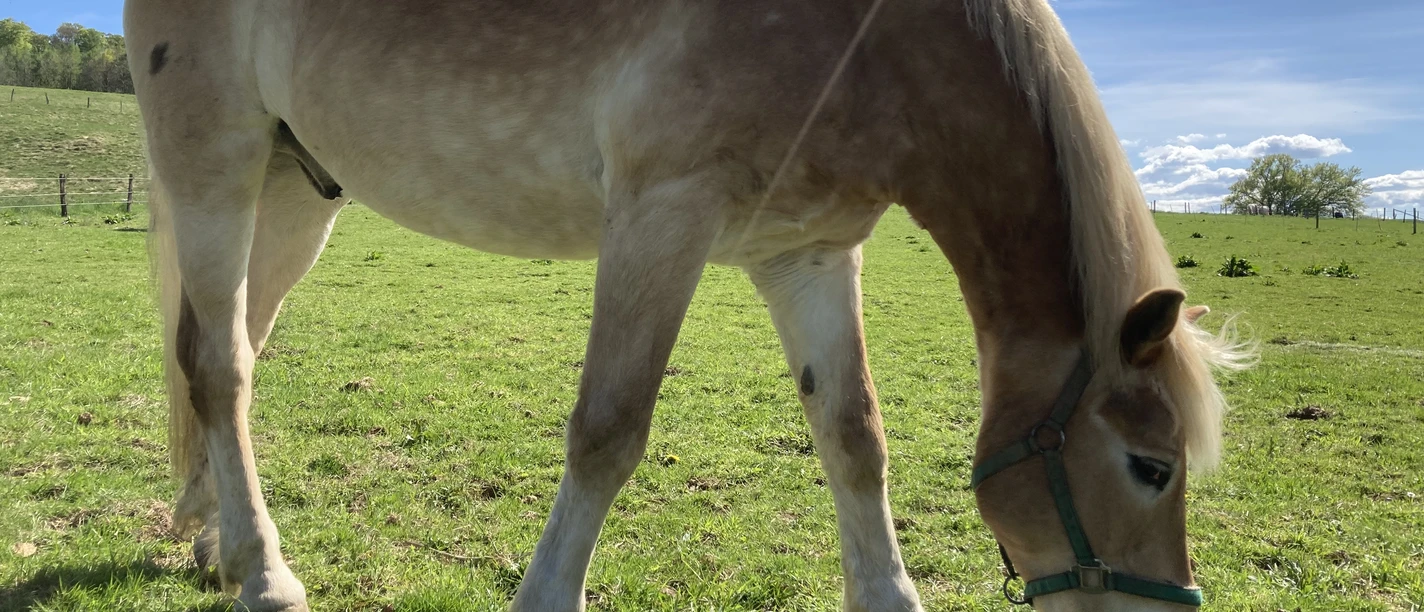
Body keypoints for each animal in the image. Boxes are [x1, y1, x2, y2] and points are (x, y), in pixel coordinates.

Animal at [124, 0, 1251, 609]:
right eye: (1150, 467)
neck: (874, 42)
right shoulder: (661, 216)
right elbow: (607, 432)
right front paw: (546, 594)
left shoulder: (805, 254)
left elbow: (854, 437)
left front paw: (888, 592)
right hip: (216, 164)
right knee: (218, 366)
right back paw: (263, 572)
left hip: (290, 190)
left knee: (231, 349)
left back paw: (215, 540)